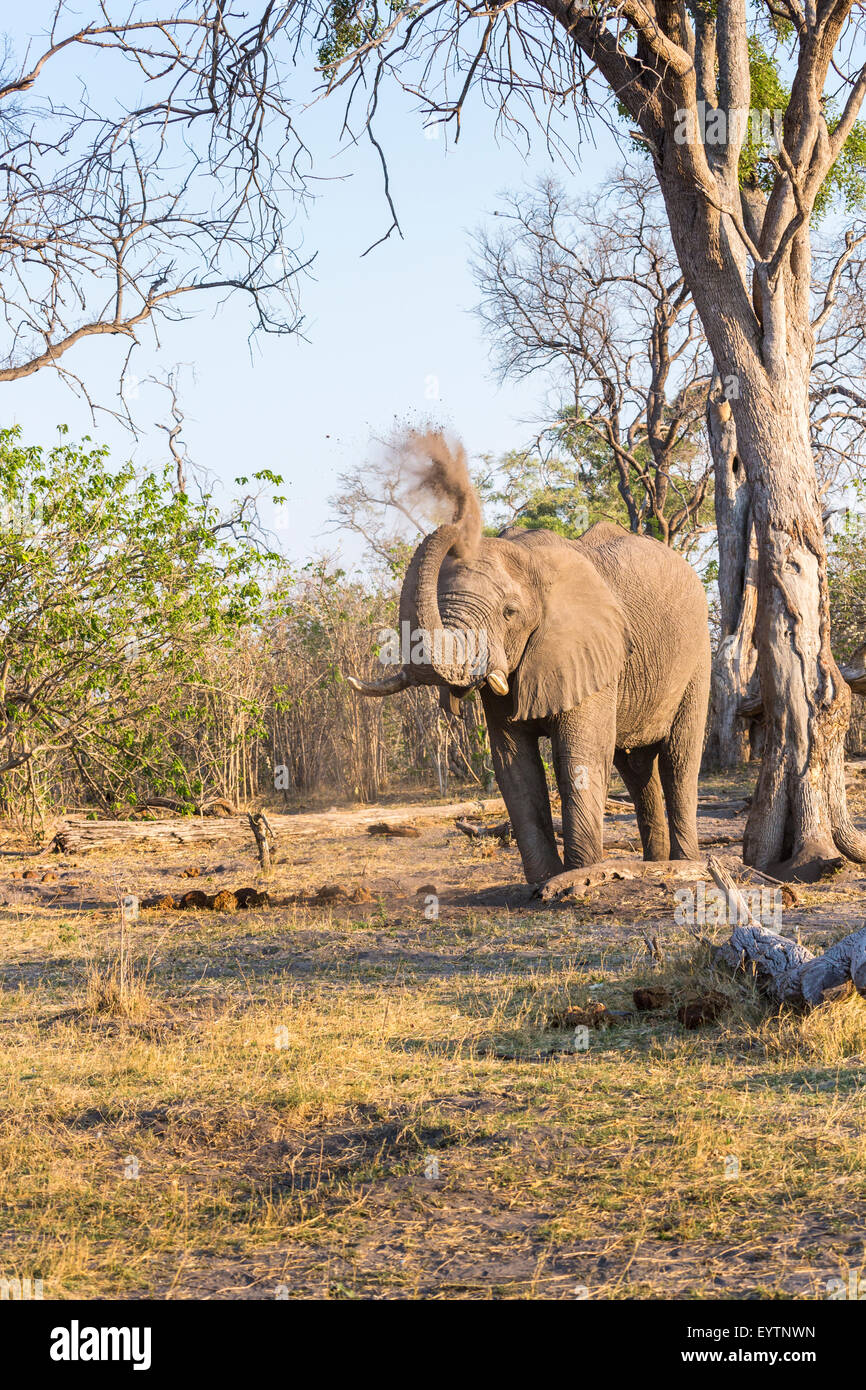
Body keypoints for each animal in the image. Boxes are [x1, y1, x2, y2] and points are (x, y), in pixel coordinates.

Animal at [347, 433, 711, 884]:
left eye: (509, 613)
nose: (443, 463)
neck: (532, 562)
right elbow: (514, 765)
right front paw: (542, 883)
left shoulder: (589, 651)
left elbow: (578, 756)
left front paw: (580, 879)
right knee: (635, 766)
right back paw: (655, 865)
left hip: (698, 654)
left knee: (679, 759)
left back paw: (685, 865)